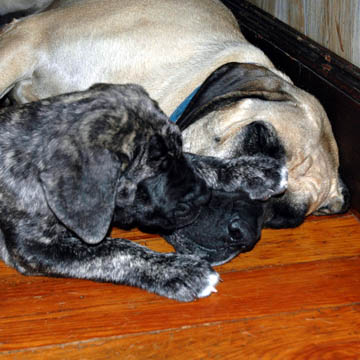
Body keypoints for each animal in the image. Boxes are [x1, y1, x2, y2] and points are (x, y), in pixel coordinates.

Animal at [0, 83, 286, 300]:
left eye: (177, 150)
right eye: (152, 172)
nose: (203, 197)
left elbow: (197, 162)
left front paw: (252, 171)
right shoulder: (34, 248)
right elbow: (115, 250)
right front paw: (178, 271)